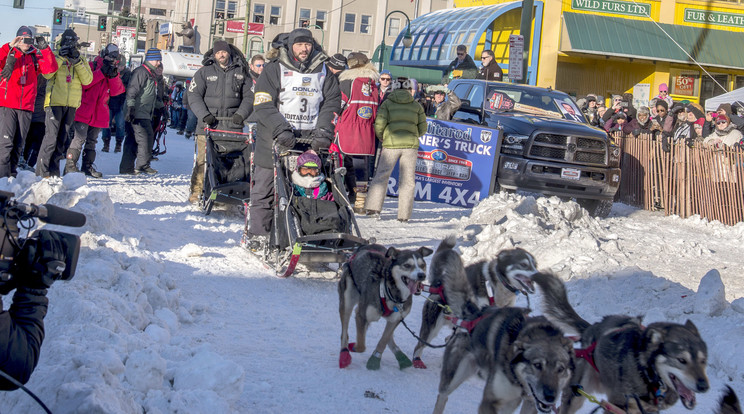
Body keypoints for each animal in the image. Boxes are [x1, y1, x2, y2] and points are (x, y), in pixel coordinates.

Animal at [336, 241, 434, 370]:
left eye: (422, 265)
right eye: (407, 265)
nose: (421, 275)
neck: (390, 292)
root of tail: (363, 247)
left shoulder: (396, 319)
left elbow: (384, 340)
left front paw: (375, 358)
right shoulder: (362, 315)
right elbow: (361, 346)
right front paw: (355, 347)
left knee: (387, 336)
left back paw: (400, 355)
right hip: (347, 302)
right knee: (344, 332)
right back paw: (344, 353)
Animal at [430, 308, 576, 414]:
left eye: (561, 369)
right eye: (537, 365)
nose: (550, 397)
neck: (517, 380)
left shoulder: (523, 404)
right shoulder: (490, 402)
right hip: (453, 379)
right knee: (442, 397)